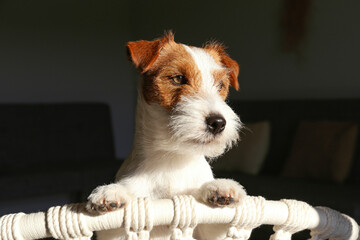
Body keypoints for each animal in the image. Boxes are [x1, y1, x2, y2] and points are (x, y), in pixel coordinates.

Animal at [86, 31, 246, 239]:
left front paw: (218, 187)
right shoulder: (117, 233)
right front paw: (111, 192)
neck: (173, 158)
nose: (218, 123)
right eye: (178, 79)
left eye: (220, 85)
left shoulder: (208, 231)